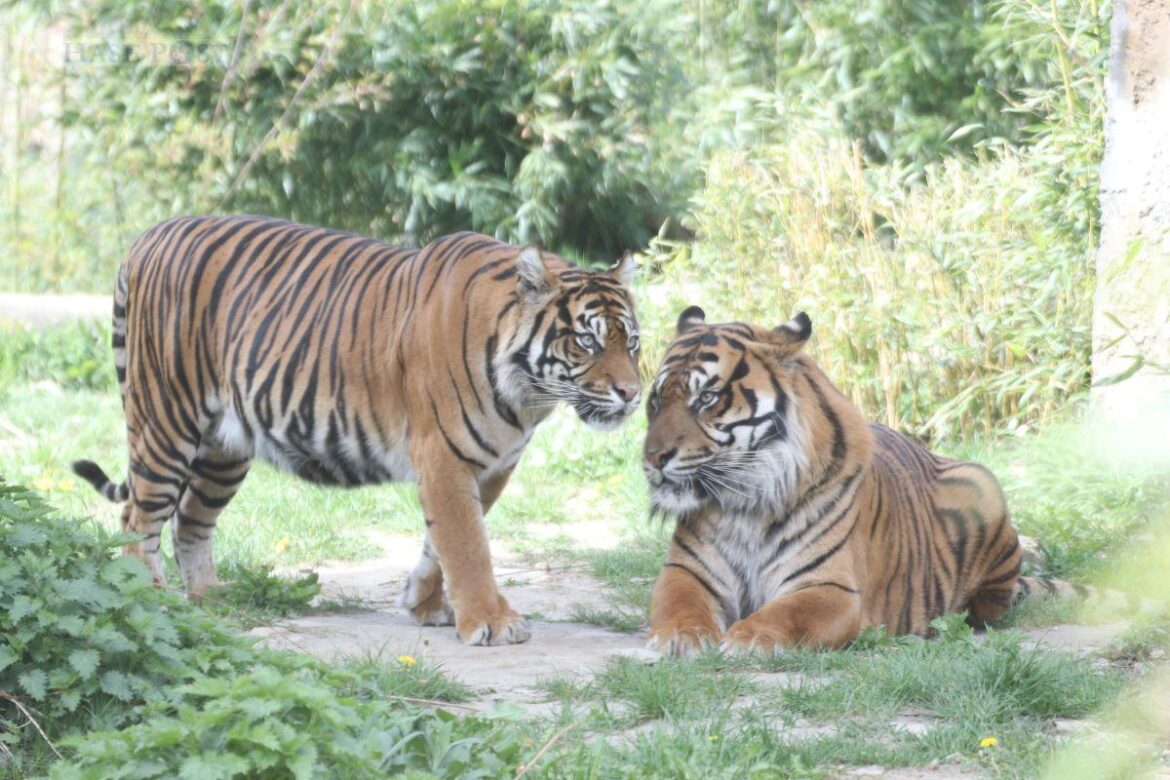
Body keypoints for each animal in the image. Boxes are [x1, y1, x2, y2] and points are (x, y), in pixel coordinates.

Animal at [72, 215, 642, 646]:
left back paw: (211, 597)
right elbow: (467, 543)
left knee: (190, 519)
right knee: (137, 519)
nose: (633, 394)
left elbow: (442, 542)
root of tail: (149, 235)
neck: (527, 395)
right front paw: (491, 622)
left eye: (631, 342)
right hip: (167, 421)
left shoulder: (491, 464)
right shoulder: (444, 456)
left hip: (224, 449)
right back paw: (149, 600)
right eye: (587, 342)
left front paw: (424, 603)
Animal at [642, 306, 1144, 656]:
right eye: (655, 400)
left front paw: (750, 637)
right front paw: (681, 638)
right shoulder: (687, 569)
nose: (653, 458)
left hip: (985, 487)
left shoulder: (831, 587)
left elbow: (786, 614)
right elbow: (678, 603)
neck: (743, 500)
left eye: (707, 398)